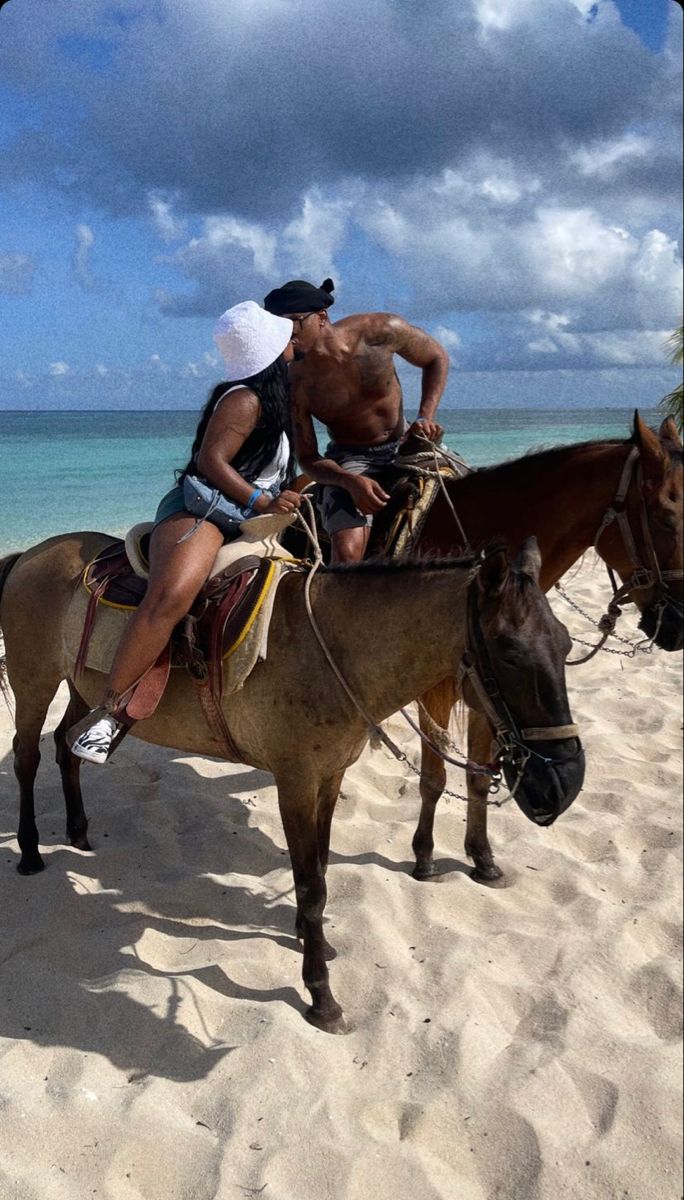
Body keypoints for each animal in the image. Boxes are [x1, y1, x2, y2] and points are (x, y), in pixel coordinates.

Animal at [0, 540, 580, 1027]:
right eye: (509, 652)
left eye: (566, 643)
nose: (566, 782)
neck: (333, 652)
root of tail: (33, 552)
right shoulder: (295, 783)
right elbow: (310, 884)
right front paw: (320, 994)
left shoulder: (330, 777)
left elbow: (319, 868)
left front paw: (310, 939)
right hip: (35, 682)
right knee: (28, 757)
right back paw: (30, 851)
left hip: (81, 687)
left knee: (65, 746)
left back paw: (78, 828)